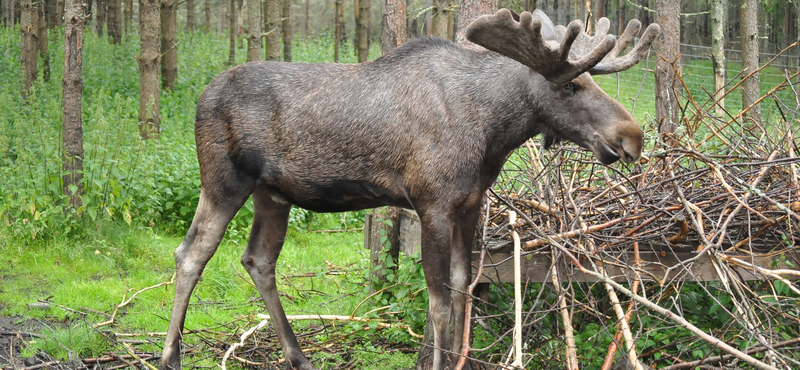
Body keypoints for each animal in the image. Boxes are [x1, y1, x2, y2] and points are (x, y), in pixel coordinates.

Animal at [159, 7, 660, 370]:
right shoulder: (432, 202)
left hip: (273, 193)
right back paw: (170, 356)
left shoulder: (470, 204)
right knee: (191, 254)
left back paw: (298, 356)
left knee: (258, 260)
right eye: (572, 85)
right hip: (224, 180)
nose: (631, 137)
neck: (492, 132)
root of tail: (201, 96)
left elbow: (463, 289)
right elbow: (438, 303)